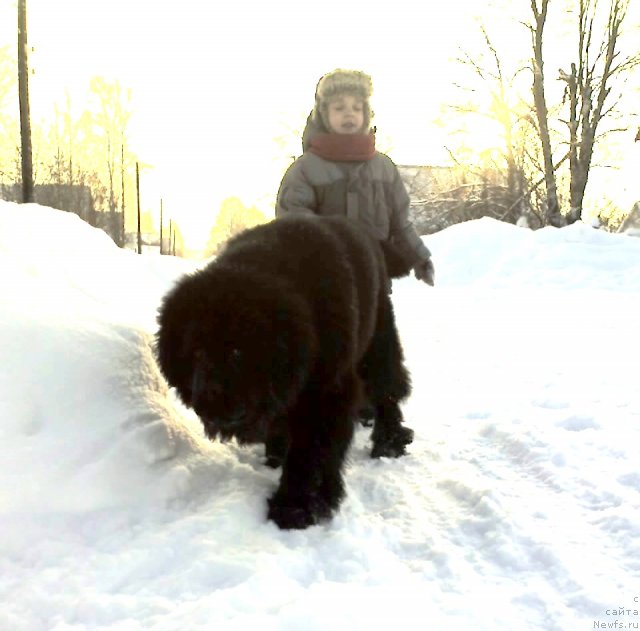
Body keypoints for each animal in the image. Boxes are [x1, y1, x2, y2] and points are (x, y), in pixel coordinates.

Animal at [155, 215, 416, 532]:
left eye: (238, 352)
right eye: (196, 352)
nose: (209, 402)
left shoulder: (325, 394)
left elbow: (311, 454)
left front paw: (296, 507)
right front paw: (276, 458)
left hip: (378, 340)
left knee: (387, 388)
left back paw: (389, 442)